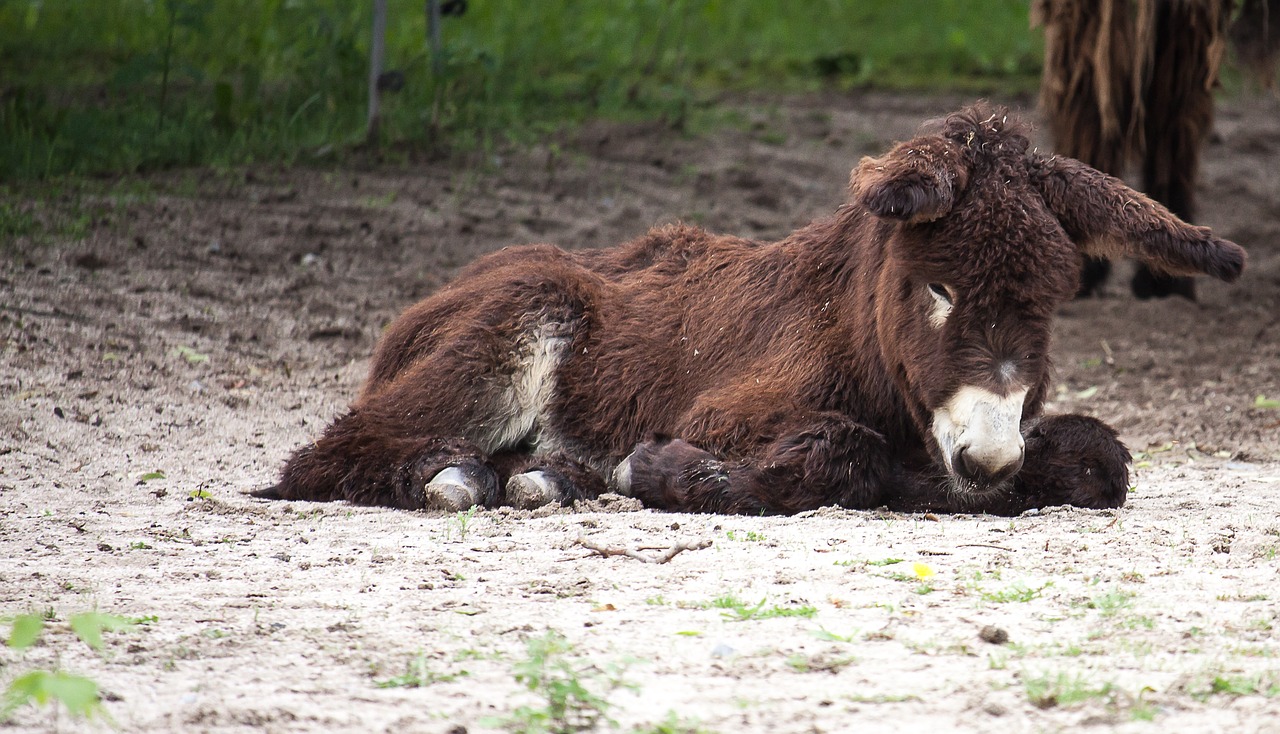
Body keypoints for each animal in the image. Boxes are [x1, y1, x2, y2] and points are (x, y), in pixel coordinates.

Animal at [257, 103, 1239, 514]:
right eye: (939, 287)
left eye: (1047, 302)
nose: (989, 460)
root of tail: (439, 294)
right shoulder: (726, 413)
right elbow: (845, 450)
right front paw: (664, 474)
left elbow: (1100, 459)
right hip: (511, 334)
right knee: (329, 454)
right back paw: (460, 477)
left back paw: (545, 478)